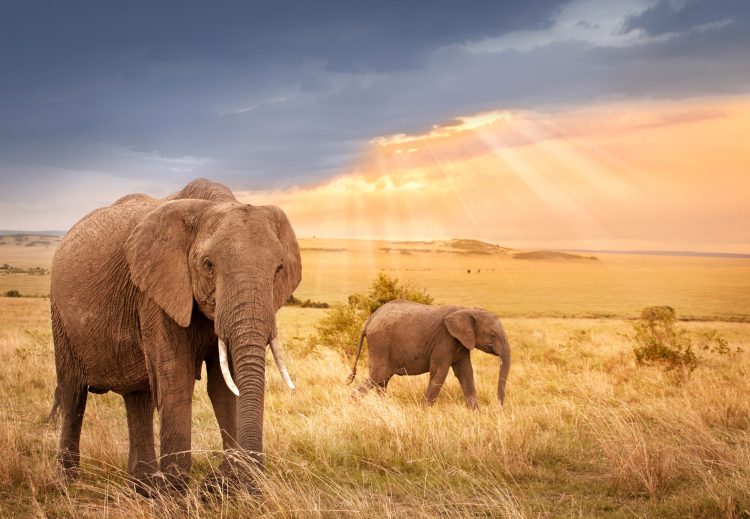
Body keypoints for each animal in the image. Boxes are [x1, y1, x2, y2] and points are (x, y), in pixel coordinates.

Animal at [49, 179, 302, 496]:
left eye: (279, 269)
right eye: (208, 264)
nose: (247, 483)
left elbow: (225, 387)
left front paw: (225, 487)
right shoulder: (155, 291)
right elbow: (177, 378)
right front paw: (177, 491)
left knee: (138, 397)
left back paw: (143, 487)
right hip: (60, 315)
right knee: (73, 395)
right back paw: (67, 484)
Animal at [346, 302, 512, 408]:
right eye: (493, 335)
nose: (498, 409)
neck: (468, 310)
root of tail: (368, 321)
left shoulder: (461, 343)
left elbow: (465, 372)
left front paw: (475, 412)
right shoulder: (445, 339)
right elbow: (440, 372)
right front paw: (425, 411)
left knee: (382, 380)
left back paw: (385, 407)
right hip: (380, 343)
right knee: (378, 376)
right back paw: (354, 404)